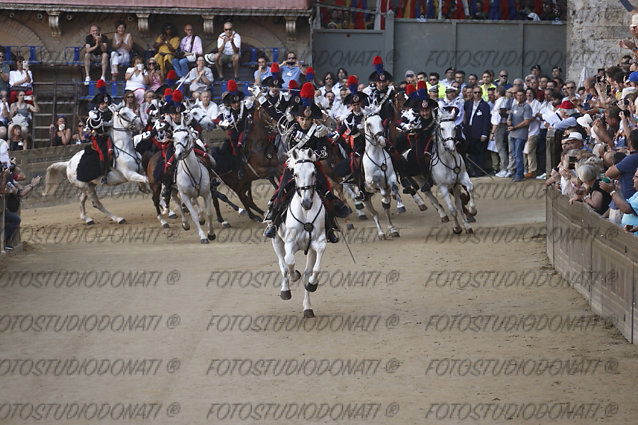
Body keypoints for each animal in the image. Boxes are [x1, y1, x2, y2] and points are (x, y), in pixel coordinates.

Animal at [272, 147, 328, 316]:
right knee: (282, 264)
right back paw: (285, 290)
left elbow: (315, 269)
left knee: (307, 272)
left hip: (310, 251)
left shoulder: (318, 243)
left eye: (313, 172)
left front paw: (312, 284)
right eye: (295, 174)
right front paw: (293, 276)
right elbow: (289, 261)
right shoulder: (290, 243)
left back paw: (307, 308)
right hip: (276, 241)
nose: (307, 203)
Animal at [360, 106, 404, 238]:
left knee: (386, 209)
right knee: (375, 214)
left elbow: (394, 189)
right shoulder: (371, 182)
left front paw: (400, 206)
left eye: (380, 121)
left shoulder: (391, 177)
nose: (382, 141)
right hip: (365, 198)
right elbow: (382, 190)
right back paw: (380, 233)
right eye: (369, 124)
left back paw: (392, 229)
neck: (377, 156)